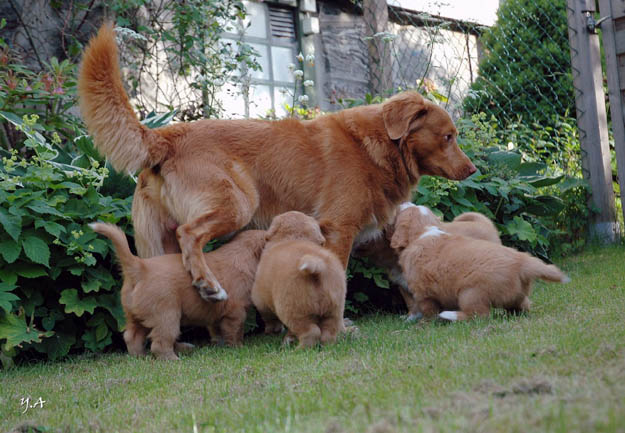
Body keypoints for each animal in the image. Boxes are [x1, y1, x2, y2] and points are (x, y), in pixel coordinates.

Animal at [88, 221, 264, 360]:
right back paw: (172, 359)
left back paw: (140, 357)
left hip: (134, 314)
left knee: (131, 336)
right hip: (167, 316)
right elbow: (235, 331)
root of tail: (140, 267)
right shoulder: (236, 312)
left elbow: (217, 330)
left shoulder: (215, 314)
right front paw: (237, 347)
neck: (242, 254)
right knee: (159, 343)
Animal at [250, 211, 346, 350]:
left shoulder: (260, 298)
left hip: (295, 311)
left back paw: (299, 349)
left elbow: (268, 316)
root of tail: (317, 267)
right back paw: (327, 348)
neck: (294, 238)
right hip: (334, 310)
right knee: (328, 333)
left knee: (311, 332)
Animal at [390, 206, 572, 320]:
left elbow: (428, 310)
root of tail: (521, 262)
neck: (424, 230)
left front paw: (425, 323)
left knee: (479, 315)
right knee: (523, 306)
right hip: (516, 295)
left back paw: (450, 316)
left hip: (470, 294)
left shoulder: (423, 293)